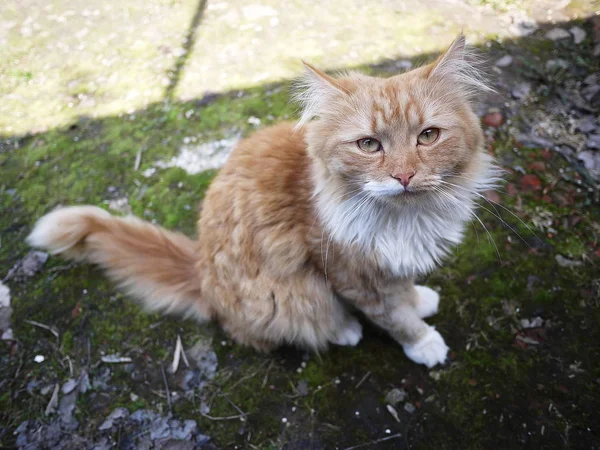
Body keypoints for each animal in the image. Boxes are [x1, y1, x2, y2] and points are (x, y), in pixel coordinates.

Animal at [27, 34, 496, 366]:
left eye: (428, 136)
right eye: (368, 145)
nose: (404, 176)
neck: (407, 219)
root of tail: (200, 272)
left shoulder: (391, 265)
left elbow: (405, 292)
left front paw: (420, 299)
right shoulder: (351, 275)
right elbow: (395, 317)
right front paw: (423, 342)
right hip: (287, 295)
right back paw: (343, 329)